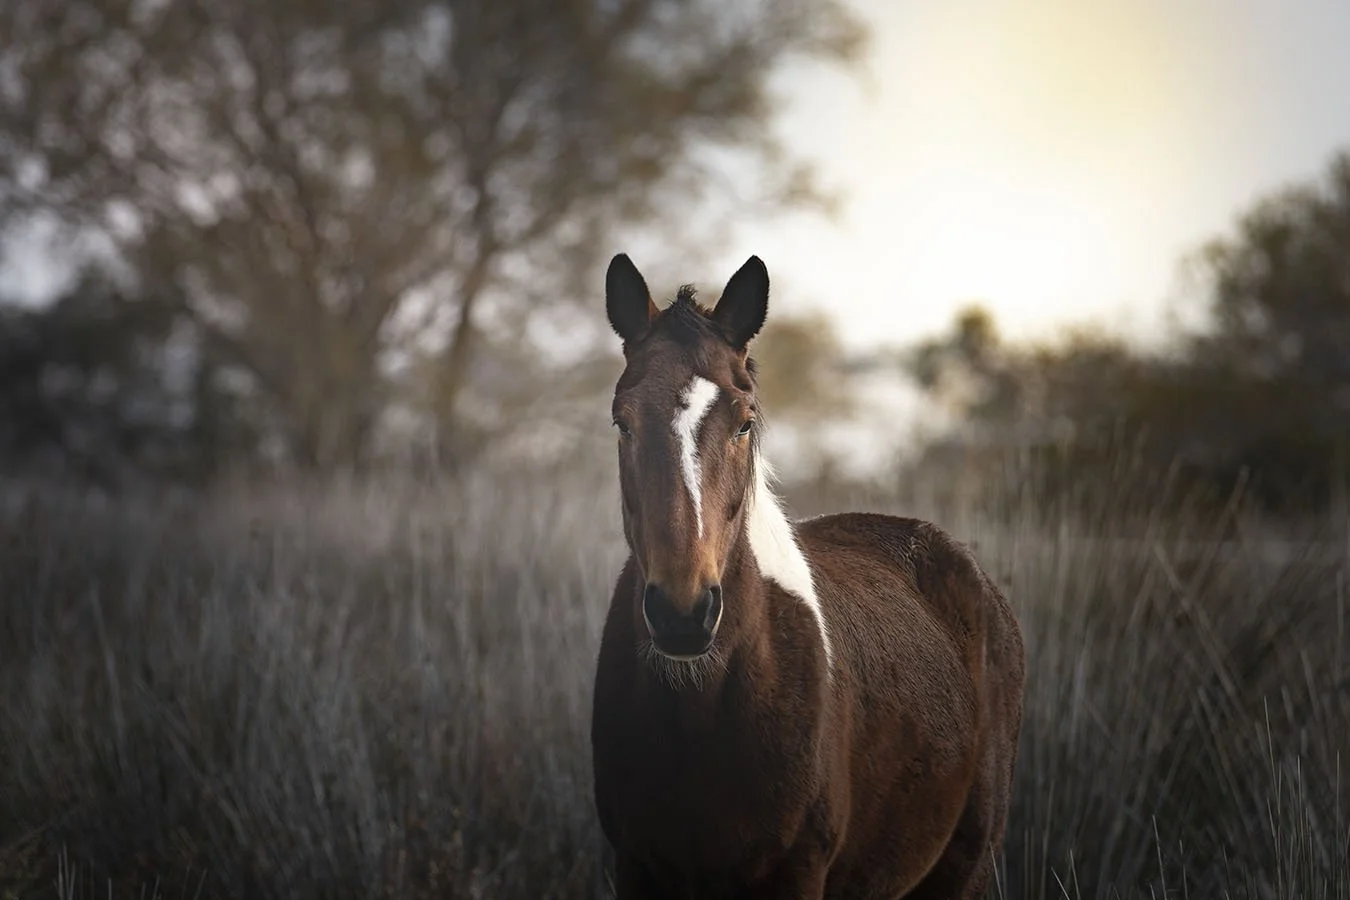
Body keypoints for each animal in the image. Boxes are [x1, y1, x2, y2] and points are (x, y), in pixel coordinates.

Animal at [590, 253, 1026, 899]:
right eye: (623, 422)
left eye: (745, 422)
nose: (682, 614)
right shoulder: (636, 866)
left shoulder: (796, 870)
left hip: (965, 866)